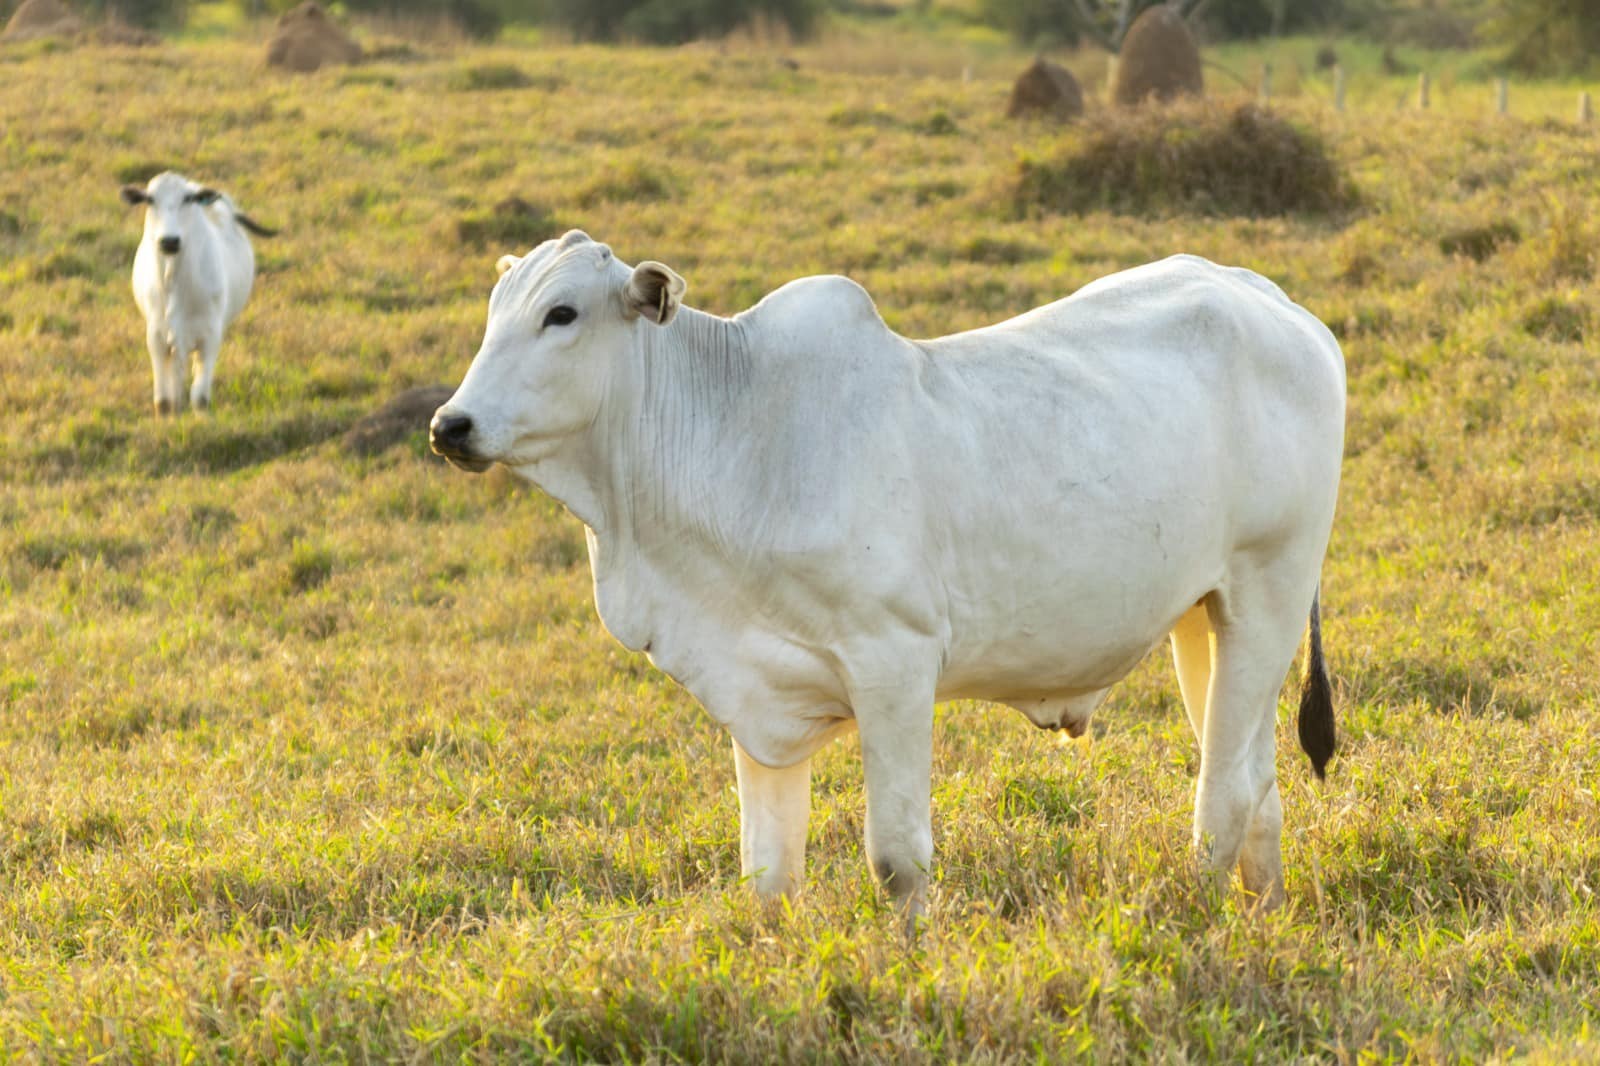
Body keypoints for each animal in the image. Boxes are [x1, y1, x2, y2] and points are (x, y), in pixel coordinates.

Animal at [120, 172, 275, 412]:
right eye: (150, 199)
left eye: (188, 199)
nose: (170, 241)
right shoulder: (155, 336)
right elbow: (163, 401)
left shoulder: (211, 336)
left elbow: (200, 398)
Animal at [432, 232, 1344, 921]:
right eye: (495, 312)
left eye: (561, 313)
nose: (451, 425)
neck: (737, 433)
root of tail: (1272, 301)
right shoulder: (754, 690)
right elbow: (768, 876)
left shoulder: (895, 664)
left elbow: (897, 861)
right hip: (1203, 616)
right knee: (1256, 783)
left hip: (1270, 590)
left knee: (1223, 797)